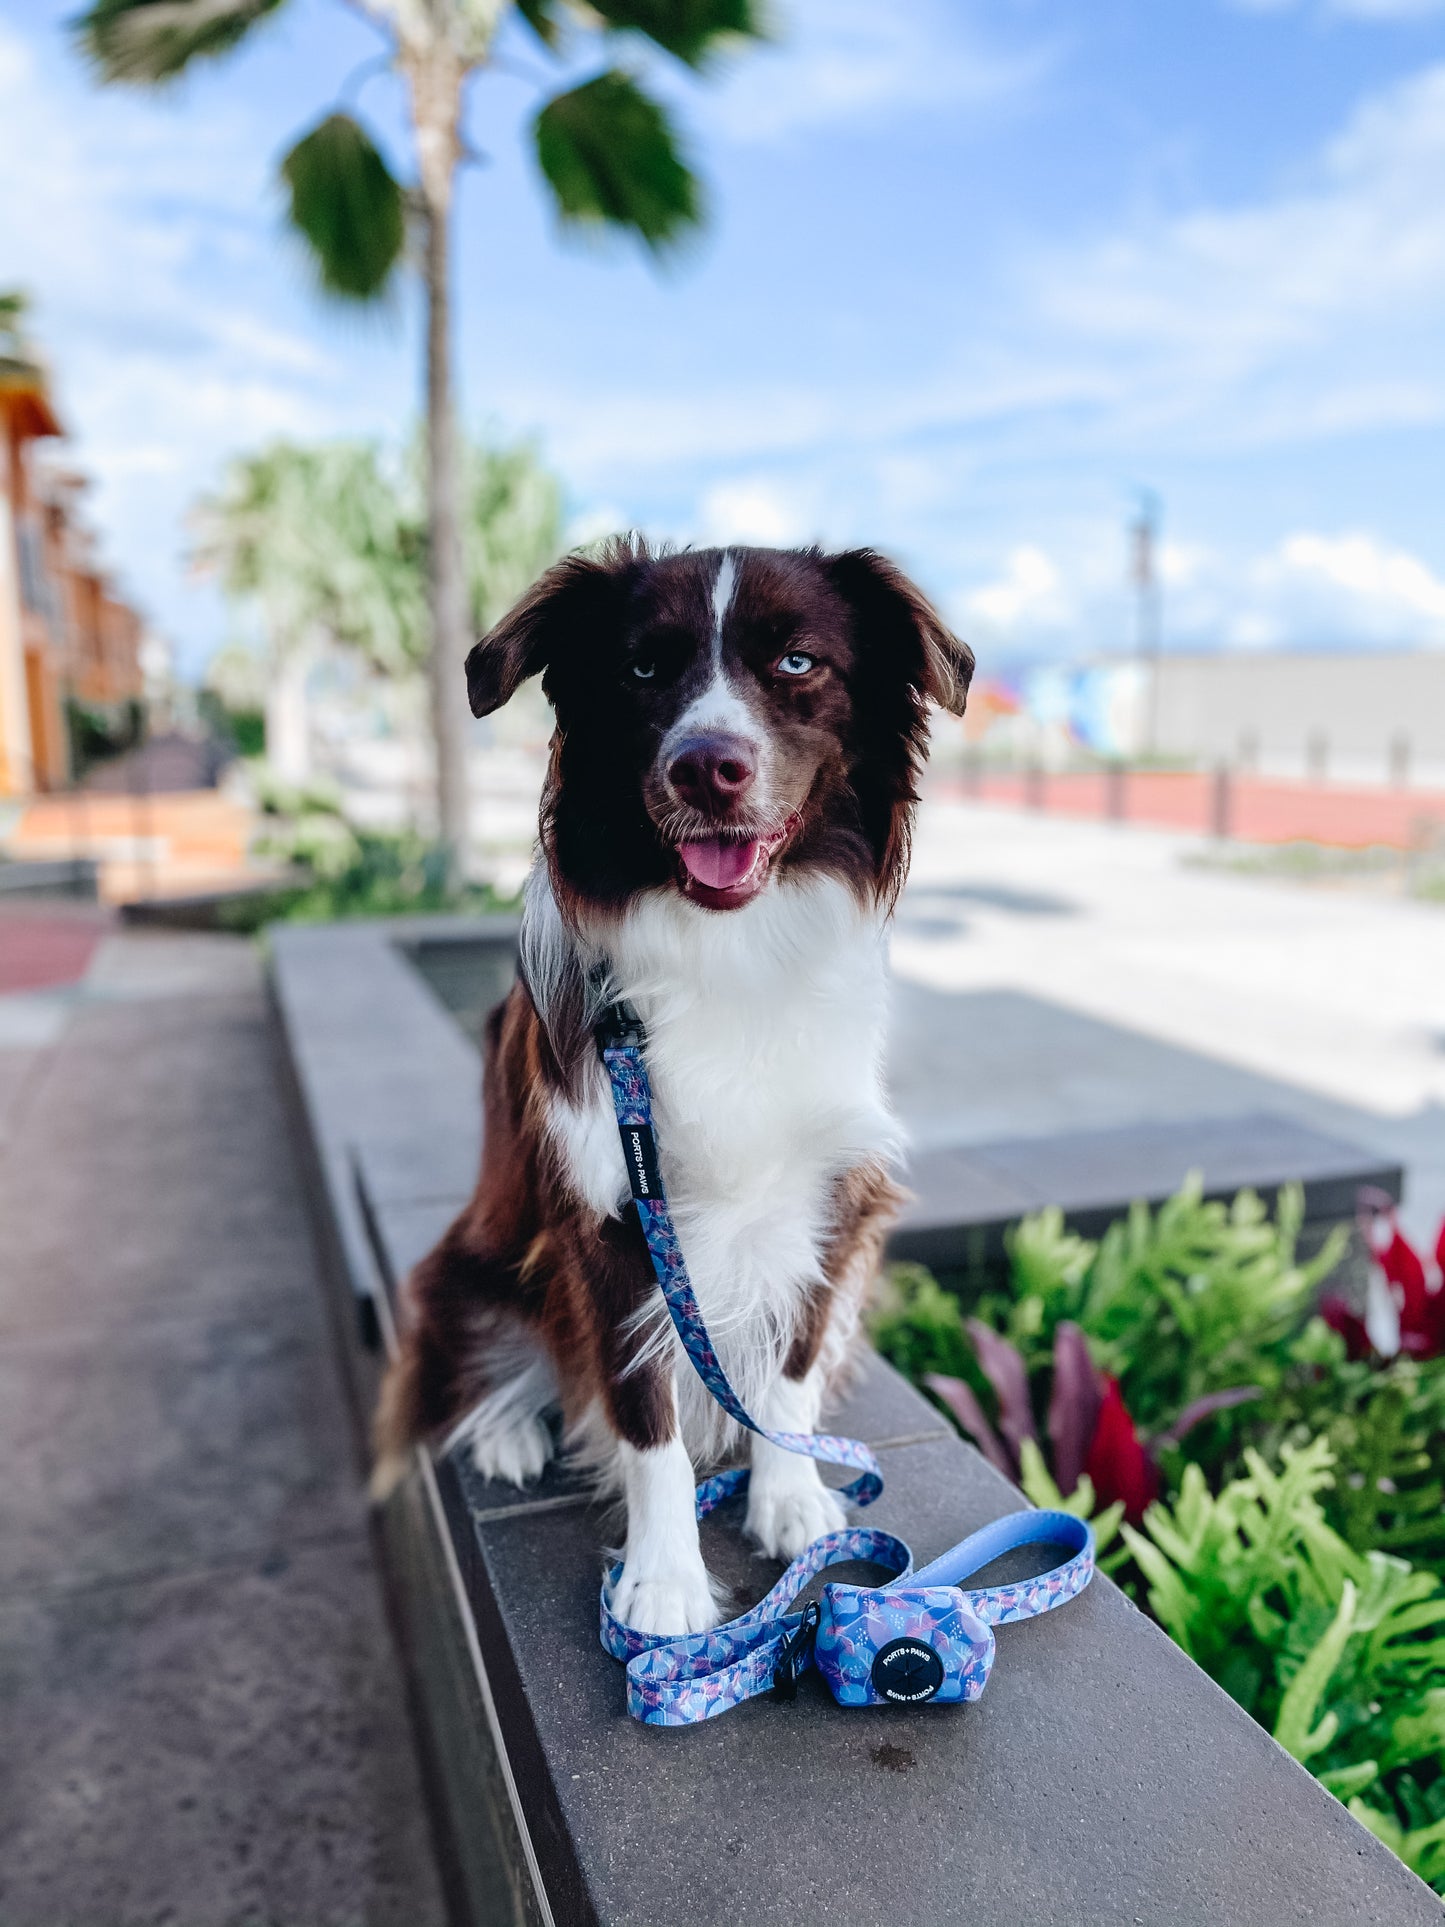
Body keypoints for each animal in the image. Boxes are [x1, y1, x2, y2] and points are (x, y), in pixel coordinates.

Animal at [379, 535, 978, 1634]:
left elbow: (787, 1369)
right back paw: (508, 1428)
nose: (705, 765)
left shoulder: (834, 1198)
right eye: (643, 669)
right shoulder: (611, 1218)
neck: (728, 947)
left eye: (797, 662)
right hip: (474, 1261)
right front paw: (663, 1580)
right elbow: (642, 1412)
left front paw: (788, 1495)